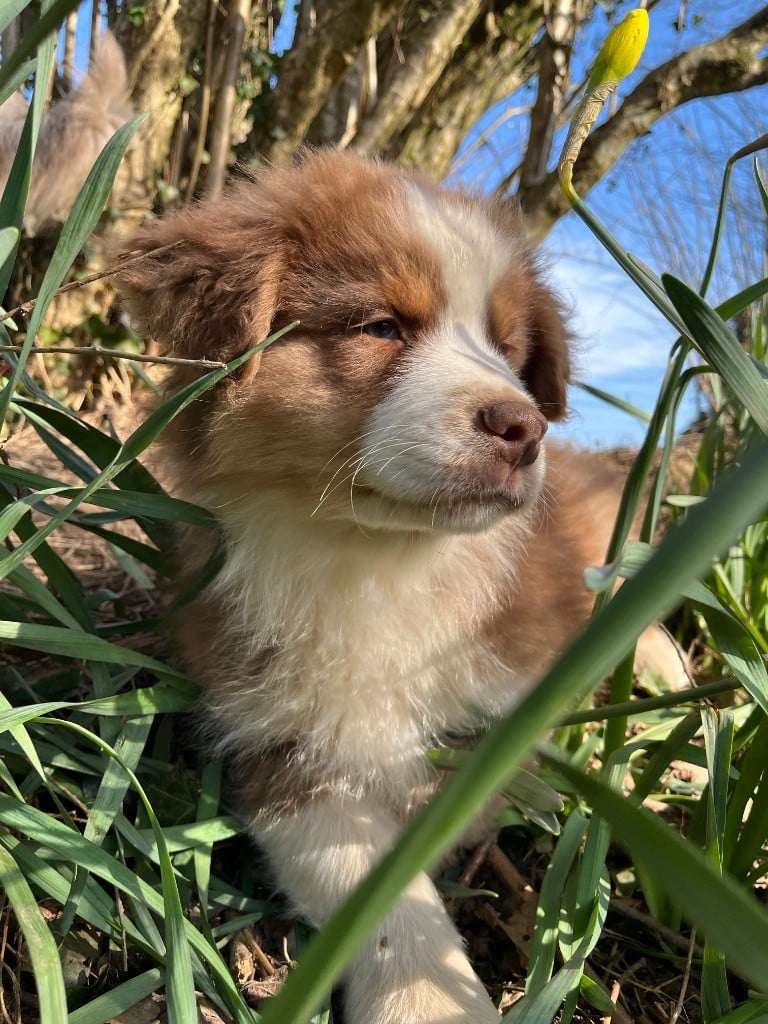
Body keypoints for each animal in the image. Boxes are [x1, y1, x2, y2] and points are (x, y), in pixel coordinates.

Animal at [117, 151, 626, 1024]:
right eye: (381, 327)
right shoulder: (276, 737)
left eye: (508, 346)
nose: (524, 427)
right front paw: (427, 1001)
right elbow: (371, 883)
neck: (375, 558)